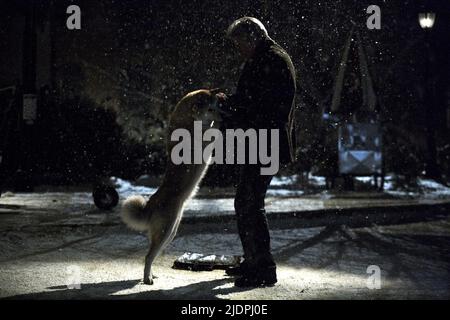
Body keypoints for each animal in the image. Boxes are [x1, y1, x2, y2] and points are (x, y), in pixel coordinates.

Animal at [121, 88, 221, 284]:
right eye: (206, 97)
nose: (219, 92)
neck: (188, 120)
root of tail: (150, 204)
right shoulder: (205, 136)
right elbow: (213, 127)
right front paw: (219, 119)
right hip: (166, 231)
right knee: (148, 256)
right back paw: (147, 279)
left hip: (170, 232)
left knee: (152, 254)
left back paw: (151, 274)